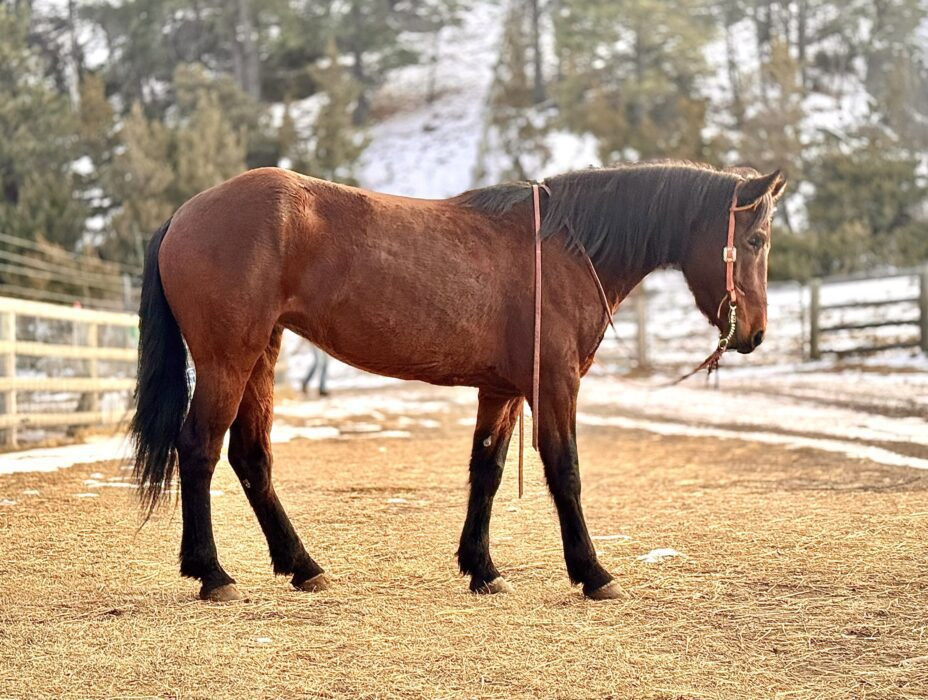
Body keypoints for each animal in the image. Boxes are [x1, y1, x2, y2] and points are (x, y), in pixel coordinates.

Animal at [130, 161, 786, 602]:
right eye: (755, 239)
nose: (754, 334)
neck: (564, 250)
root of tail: (185, 214)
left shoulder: (502, 390)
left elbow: (487, 470)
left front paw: (482, 568)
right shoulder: (555, 384)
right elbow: (565, 471)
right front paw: (592, 573)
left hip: (259, 358)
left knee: (251, 457)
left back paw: (302, 565)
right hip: (227, 359)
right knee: (199, 448)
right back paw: (211, 573)